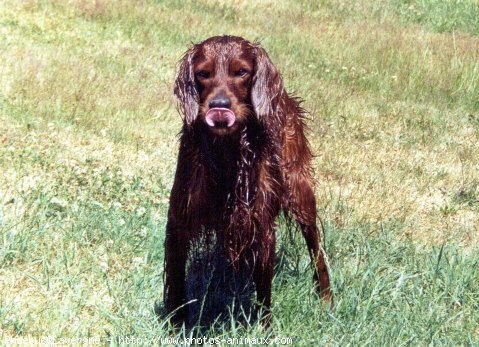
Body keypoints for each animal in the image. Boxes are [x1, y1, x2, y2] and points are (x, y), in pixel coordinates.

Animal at [163, 35, 332, 326]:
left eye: (241, 72)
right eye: (203, 74)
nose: (220, 106)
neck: (226, 152)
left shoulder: (261, 225)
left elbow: (264, 290)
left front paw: (264, 327)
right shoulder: (179, 220)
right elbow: (176, 284)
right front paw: (177, 324)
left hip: (300, 193)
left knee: (316, 248)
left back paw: (326, 299)